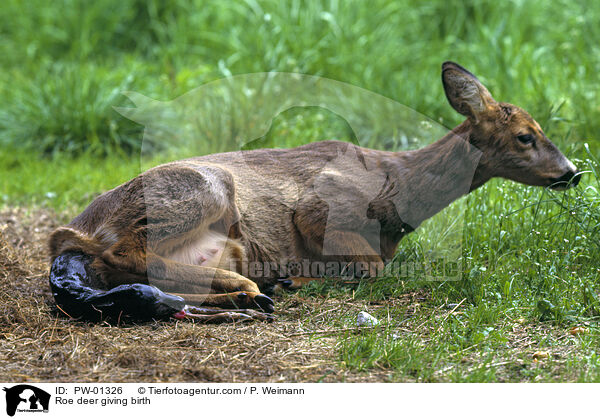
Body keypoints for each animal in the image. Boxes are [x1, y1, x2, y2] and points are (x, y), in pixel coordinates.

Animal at [48, 62, 580, 324]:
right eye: (526, 136)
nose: (572, 173)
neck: (396, 186)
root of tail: (74, 233)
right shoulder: (321, 206)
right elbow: (373, 266)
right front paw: (307, 277)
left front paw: (296, 279)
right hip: (200, 187)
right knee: (124, 252)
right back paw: (254, 289)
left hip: (228, 243)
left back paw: (248, 296)